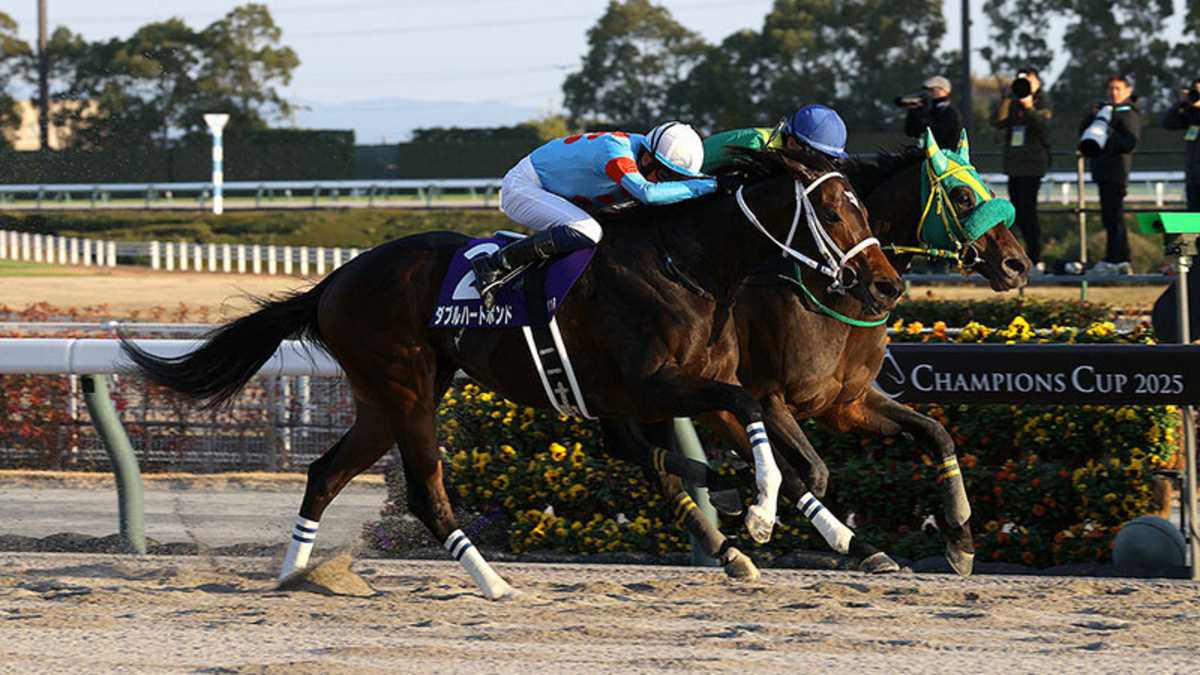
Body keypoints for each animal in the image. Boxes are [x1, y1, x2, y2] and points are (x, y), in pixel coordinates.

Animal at [121, 146, 903, 600]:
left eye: (864, 206)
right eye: (831, 209)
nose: (888, 285)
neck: (686, 264)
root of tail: (335, 282)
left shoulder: (692, 388)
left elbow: (762, 436)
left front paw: (828, 535)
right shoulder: (655, 384)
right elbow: (747, 422)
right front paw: (757, 515)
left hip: (384, 397)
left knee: (325, 470)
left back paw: (295, 573)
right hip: (408, 391)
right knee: (425, 494)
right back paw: (493, 582)